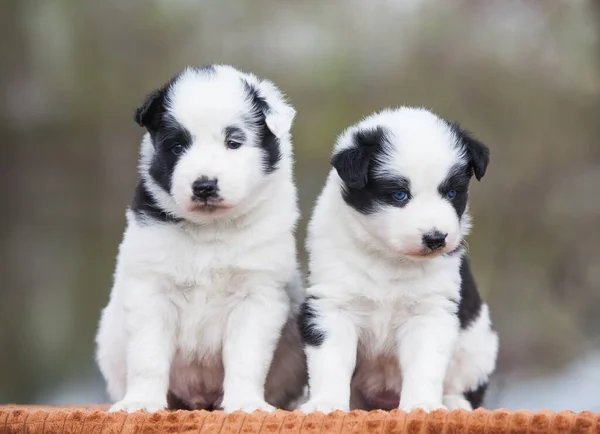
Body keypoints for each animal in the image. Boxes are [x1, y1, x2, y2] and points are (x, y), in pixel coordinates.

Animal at [97, 64, 310, 414]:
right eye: (177, 147)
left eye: (233, 142)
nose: (204, 185)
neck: (211, 228)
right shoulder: (150, 291)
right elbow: (148, 355)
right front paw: (142, 402)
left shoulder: (257, 294)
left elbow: (245, 357)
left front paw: (246, 403)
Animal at [298, 107, 500, 414]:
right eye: (399, 194)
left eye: (452, 192)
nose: (436, 238)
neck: (389, 258)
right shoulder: (333, 304)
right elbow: (331, 360)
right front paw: (326, 404)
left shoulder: (430, 311)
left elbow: (424, 364)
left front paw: (422, 405)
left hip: (479, 347)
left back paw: (453, 403)